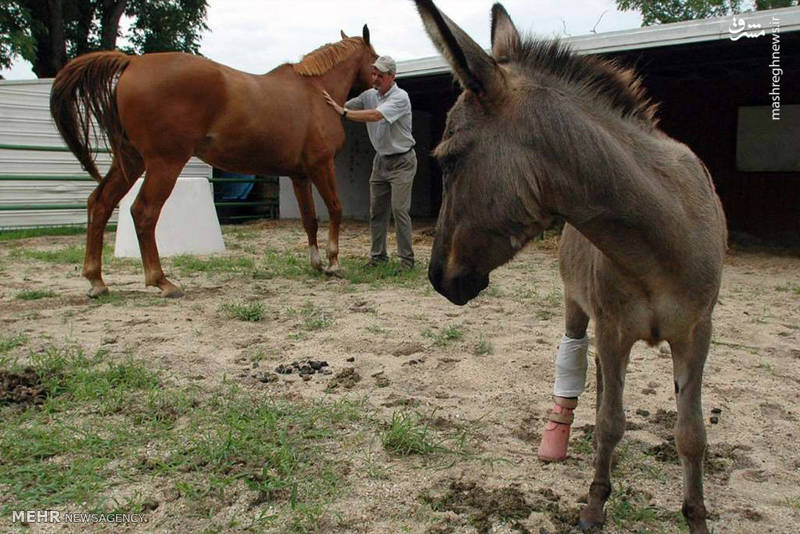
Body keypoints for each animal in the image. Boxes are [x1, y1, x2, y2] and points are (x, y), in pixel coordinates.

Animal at [50, 27, 378, 300]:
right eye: (375, 59)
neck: (315, 92)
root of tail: (132, 63)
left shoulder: (300, 175)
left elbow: (309, 219)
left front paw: (317, 263)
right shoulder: (322, 166)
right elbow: (335, 208)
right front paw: (334, 262)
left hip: (130, 161)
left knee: (100, 203)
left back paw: (97, 281)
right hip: (164, 163)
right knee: (144, 212)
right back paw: (162, 282)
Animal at [416, 2, 728, 532]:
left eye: (447, 161)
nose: (438, 278)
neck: (659, 234)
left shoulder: (696, 333)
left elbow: (690, 434)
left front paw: (696, 516)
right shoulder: (613, 327)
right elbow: (609, 422)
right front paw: (594, 506)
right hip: (579, 311)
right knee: (588, 376)